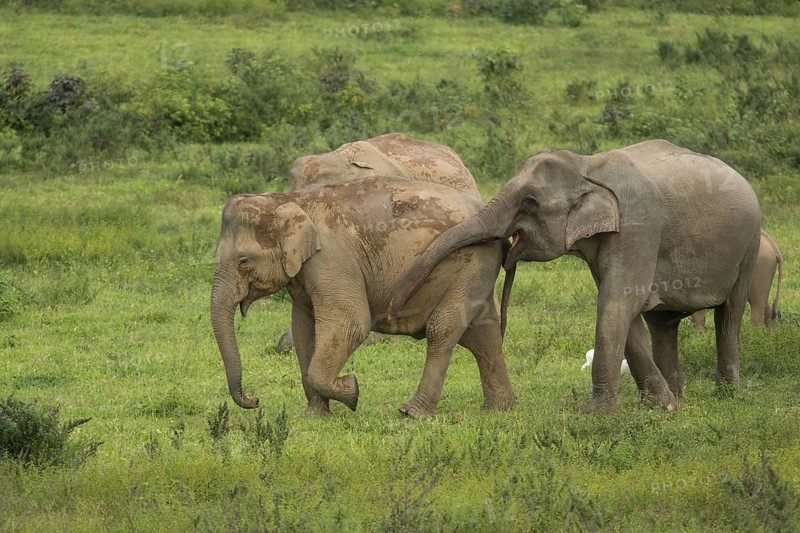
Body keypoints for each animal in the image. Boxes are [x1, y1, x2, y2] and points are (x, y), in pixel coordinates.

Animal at [211, 177, 515, 417]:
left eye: (243, 261)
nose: (255, 401)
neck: (289, 200)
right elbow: (303, 329)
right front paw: (316, 416)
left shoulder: (332, 259)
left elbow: (350, 323)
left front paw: (352, 391)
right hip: (475, 270)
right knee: (483, 335)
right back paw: (498, 410)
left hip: (470, 262)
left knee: (444, 328)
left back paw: (413, 413)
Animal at [390, 140, 761, 412]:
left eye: (530, 202)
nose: (394, 310)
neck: (588, 166)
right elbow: (622, 308)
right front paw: (661, 407)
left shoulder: (639, 226)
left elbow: (618, 301)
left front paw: (596, 415)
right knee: (663, 324)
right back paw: (678, 395)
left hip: (749, 245)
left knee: (729, 315)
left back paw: (727, 394)